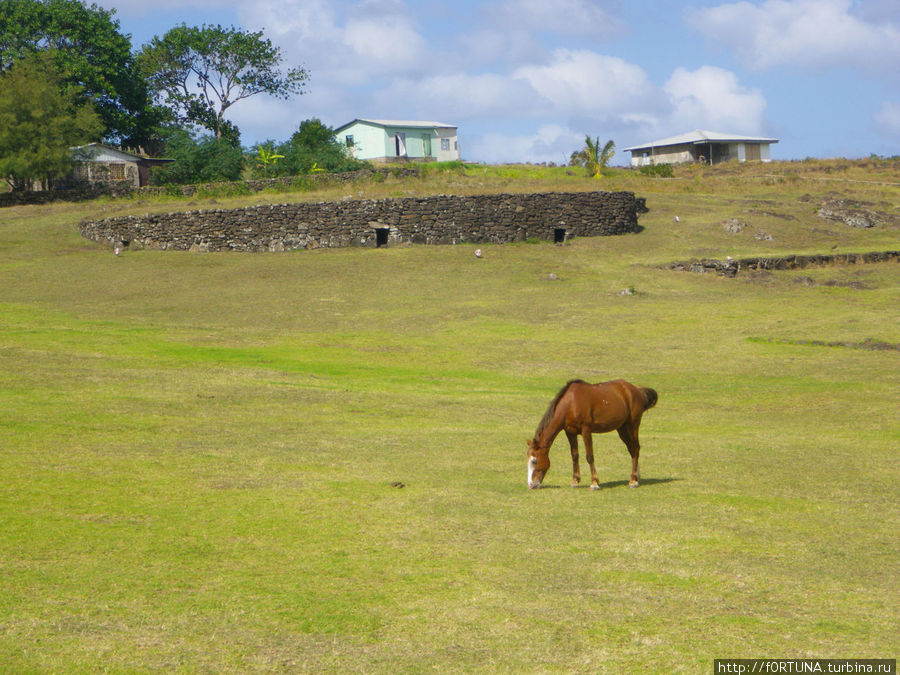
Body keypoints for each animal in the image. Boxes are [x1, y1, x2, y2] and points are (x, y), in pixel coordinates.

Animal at [524, 380, 656, 492]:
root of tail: (636, 390)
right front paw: (575, 481)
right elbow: (574, 456)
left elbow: (589, 456)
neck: (571, 403)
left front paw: (594, 483)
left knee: (636, 449)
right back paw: (636, 477)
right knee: (632, 449)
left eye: (534, 461)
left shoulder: (586, 431)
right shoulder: (570, 433)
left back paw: (633, 480)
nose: (531, 485)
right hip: (622, 429)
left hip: (633, 426)